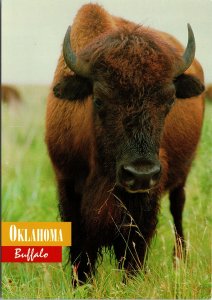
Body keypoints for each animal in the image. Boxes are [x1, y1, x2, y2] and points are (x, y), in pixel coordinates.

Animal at [45, 3, 205, 284]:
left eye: (169, 100)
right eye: (98, 99)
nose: (141, 174)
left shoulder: (145, 200)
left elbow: (133, 250)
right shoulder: (67, 184)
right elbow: (80, 253)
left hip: (181, 179)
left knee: (178, 210)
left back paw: (180, 261)